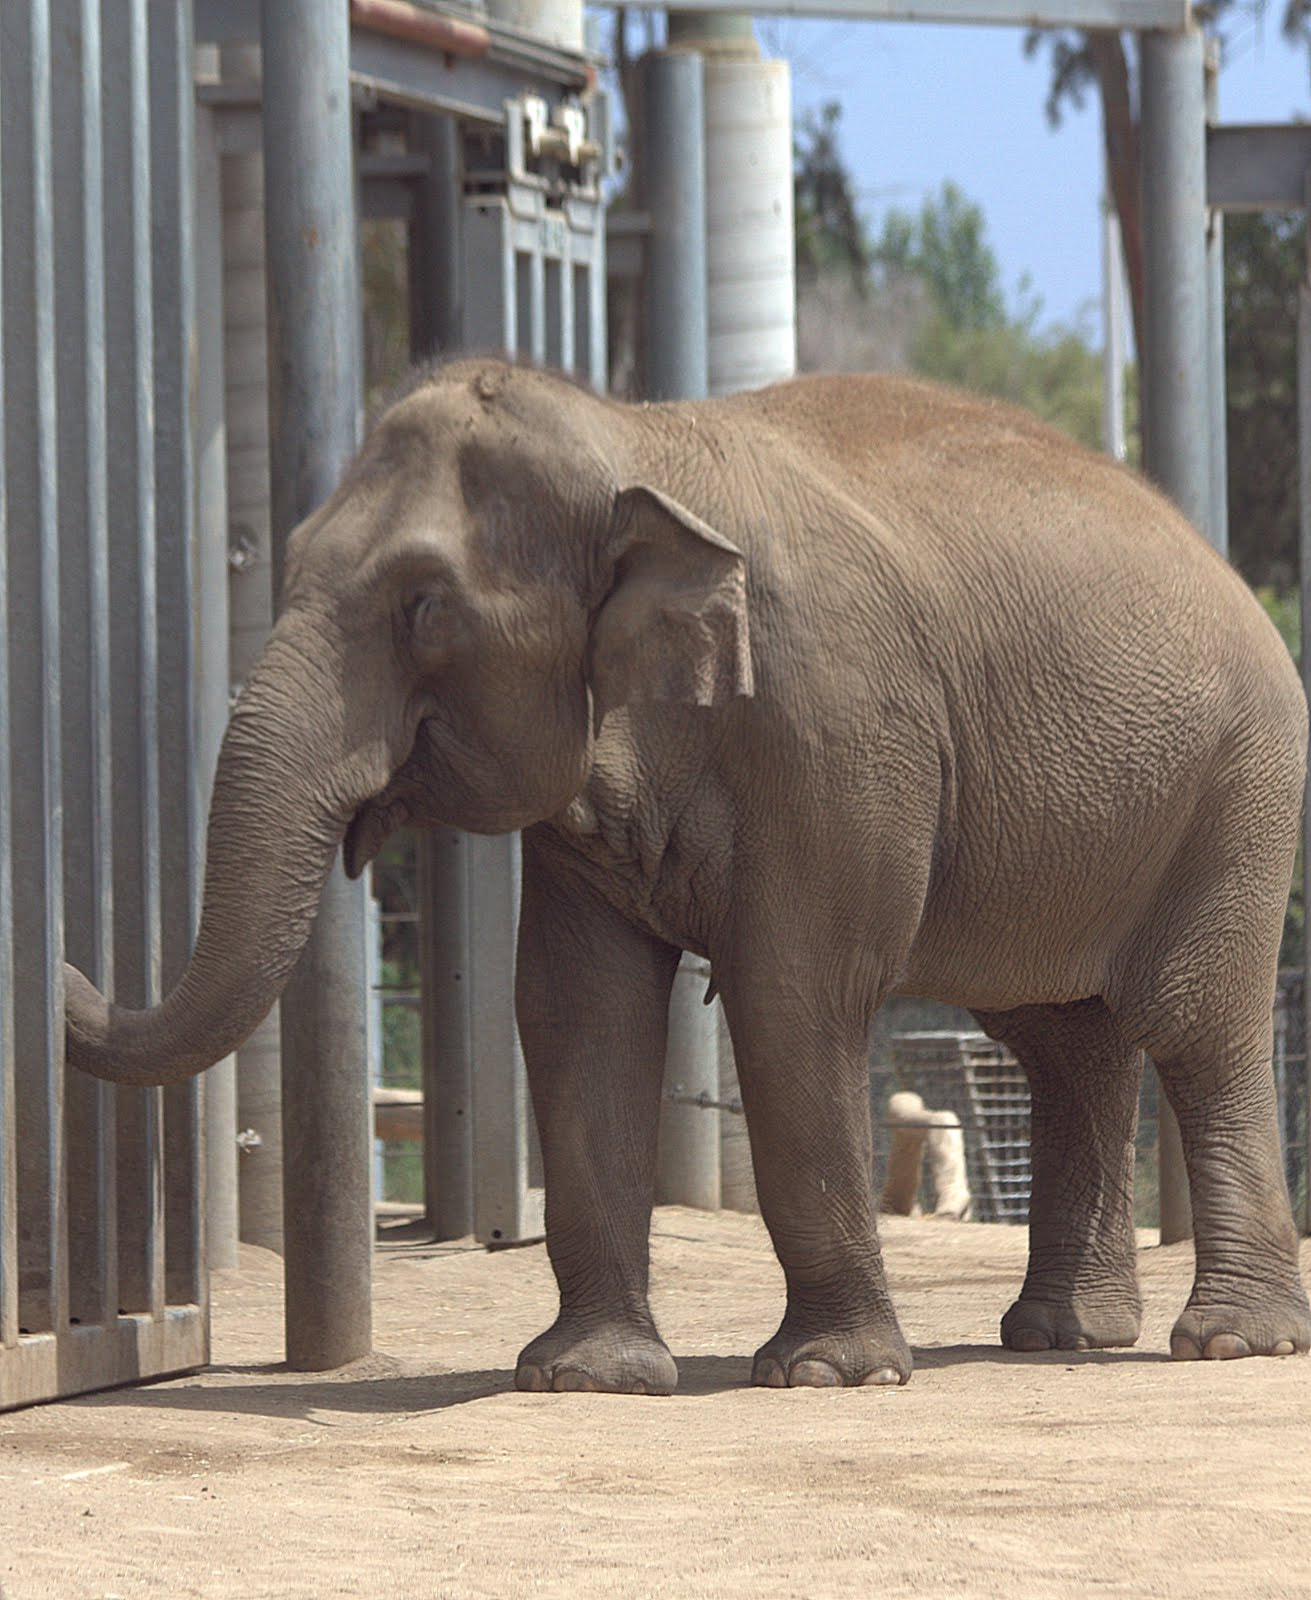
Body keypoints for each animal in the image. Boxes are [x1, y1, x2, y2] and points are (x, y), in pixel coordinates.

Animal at [66, 358, 1311, 1391]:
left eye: (424, 607)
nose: (69, 977)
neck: (635, 438)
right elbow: (578, 1008)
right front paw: (584, 1377)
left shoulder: (833, 733)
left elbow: (789, 997)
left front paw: (830, 1374)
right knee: (1065, 1040)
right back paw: (1061, 1335)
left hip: (1240, 788)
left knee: (1194, 1023)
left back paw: (1227, 1342)